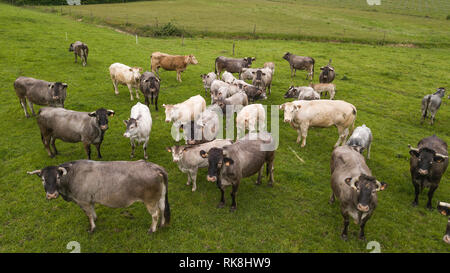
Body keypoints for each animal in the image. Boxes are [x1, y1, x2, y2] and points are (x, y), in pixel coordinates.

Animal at [26, 159, 171, 234]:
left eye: (57, 177)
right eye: (43, 179)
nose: (51, 195)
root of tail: (154, 167)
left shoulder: (83, 201)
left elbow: (88, 215)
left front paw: (92, 228)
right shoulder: (90, 199)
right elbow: (92, 211)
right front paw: (96, 219)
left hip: (150, 200)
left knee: (155, 214)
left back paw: (152, 229)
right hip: (160, 196)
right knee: (163, 208)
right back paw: (162, 224)